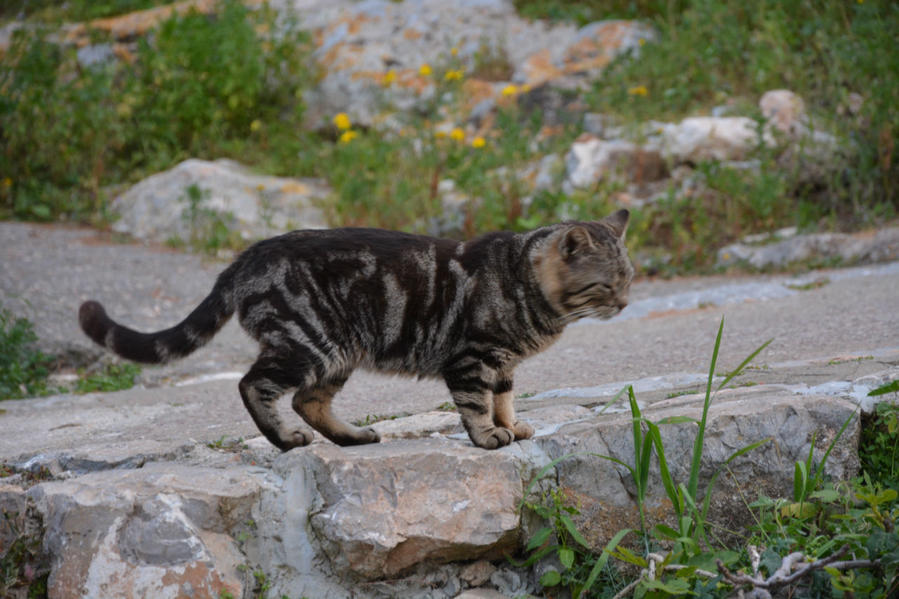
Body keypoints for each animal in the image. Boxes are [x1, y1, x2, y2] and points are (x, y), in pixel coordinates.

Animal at [81, 210, 636, 450]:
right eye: (607, 285)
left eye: (630, 279)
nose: (627, 304)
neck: (523, 282)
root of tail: (249, 255)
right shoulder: (473, 358)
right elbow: (478, 406)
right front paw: (488, 437)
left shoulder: (502, 364)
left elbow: (505, 399)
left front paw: (512, 425)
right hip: (307, 344)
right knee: (253, 385)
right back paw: (285, 440)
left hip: (336, 353)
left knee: (308, 400)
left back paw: (351, 437)